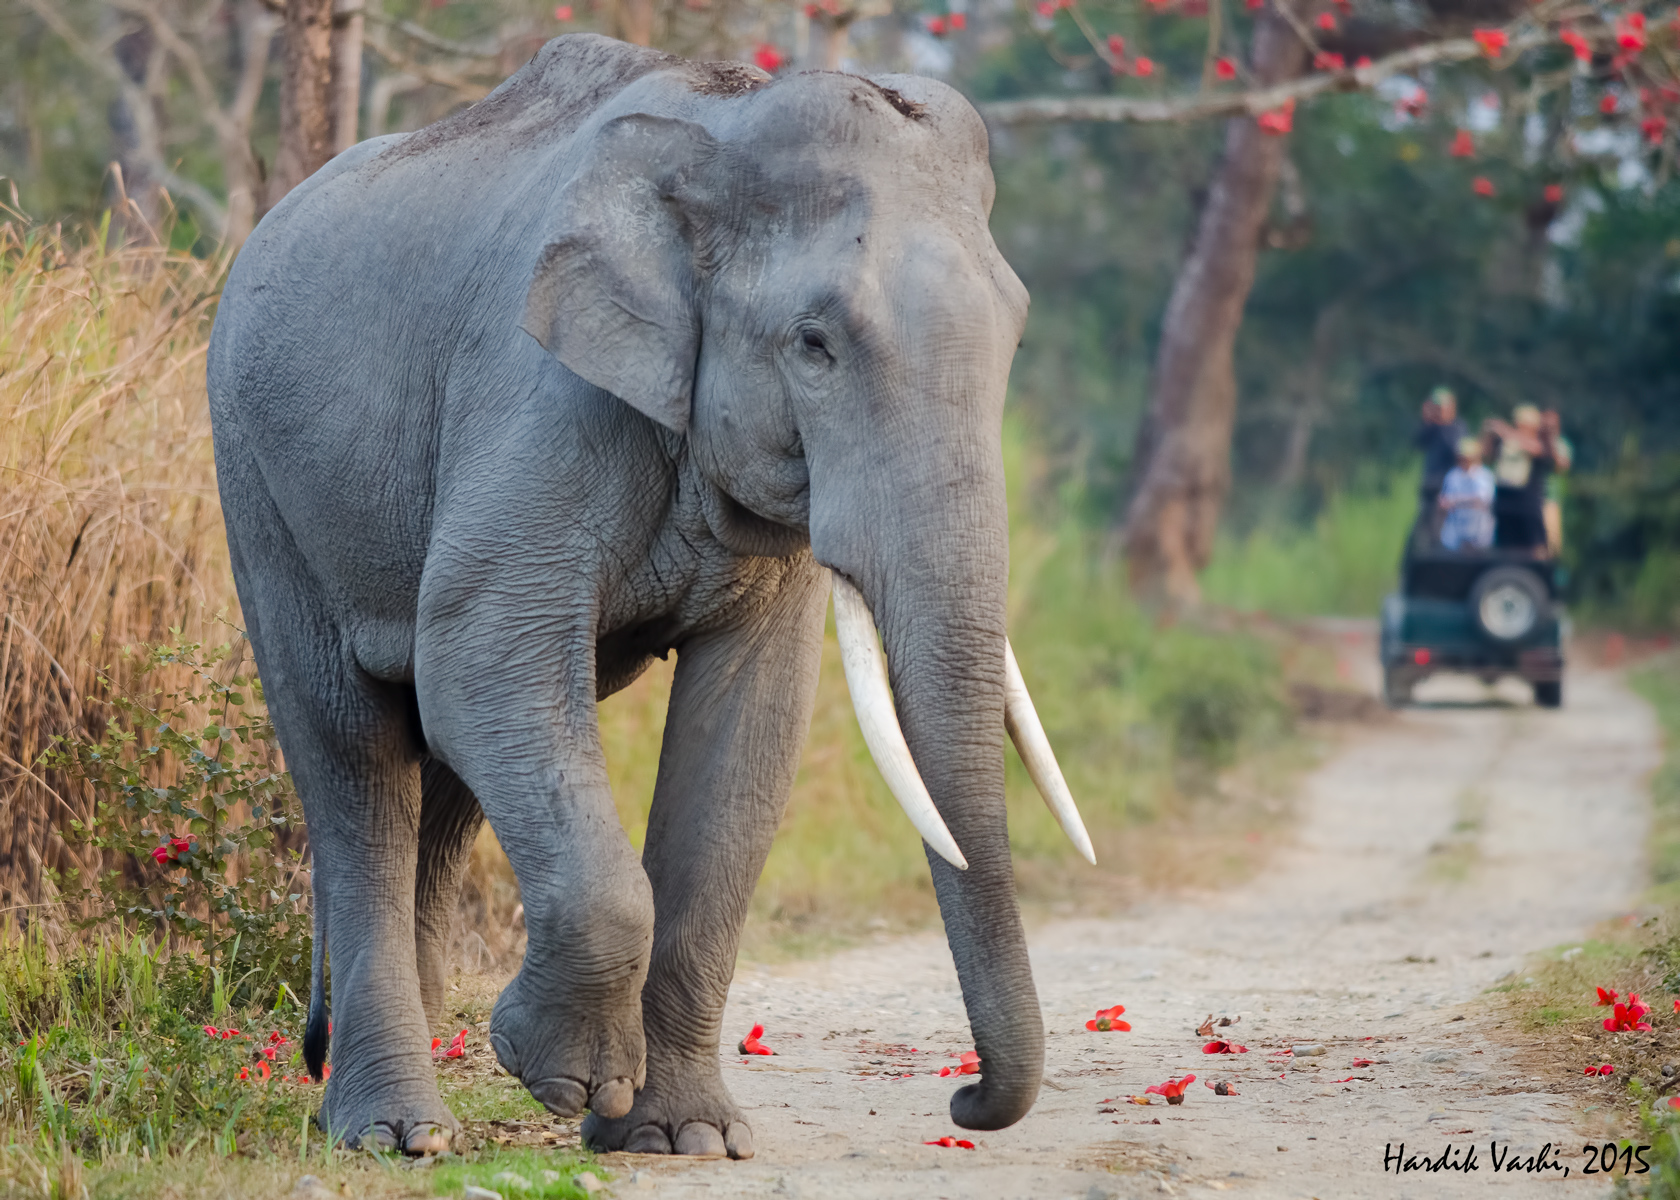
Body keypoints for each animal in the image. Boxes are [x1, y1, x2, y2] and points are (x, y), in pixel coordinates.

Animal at [206, 32, 1091, 1159]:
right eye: (815, 344)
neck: (721, 130)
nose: (966, 1101)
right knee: (355, 748)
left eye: (1015, 339)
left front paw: (684, 1139)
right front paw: (562, 1076)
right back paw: (396, 1133)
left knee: (441, 758)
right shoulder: (539, 394)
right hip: (258, 478)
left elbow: (746, 730)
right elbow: (484, 656)